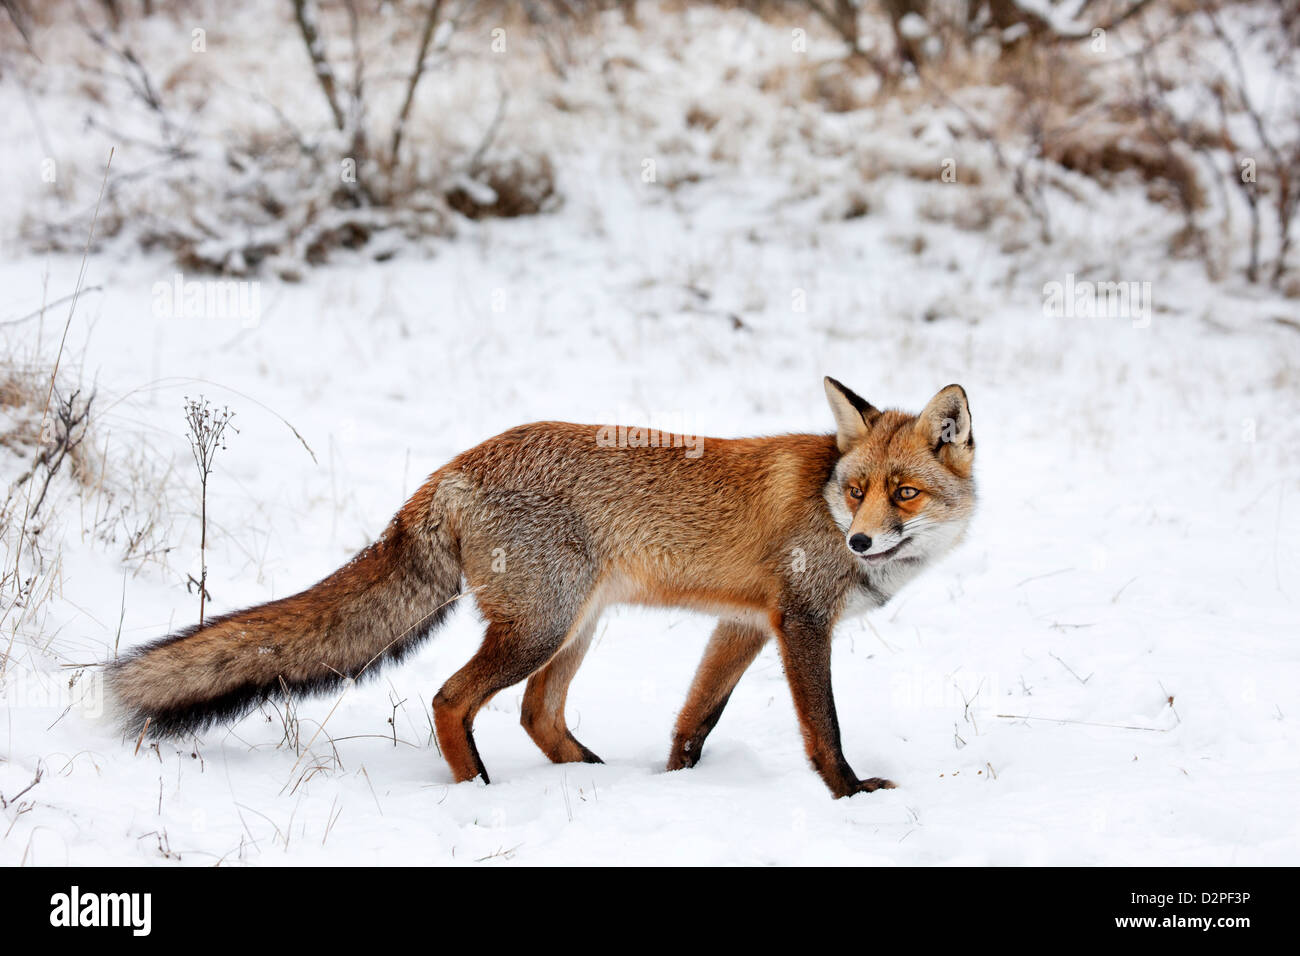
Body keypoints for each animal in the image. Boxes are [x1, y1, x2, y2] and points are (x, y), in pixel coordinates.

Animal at [106, 377, 972, 796]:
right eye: (856, 490)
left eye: (903, 493)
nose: (861, 539)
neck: (823, 501)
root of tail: (452, 468)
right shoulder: (800, 623)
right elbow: (823, 728)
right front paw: (851, 795)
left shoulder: (746, 625)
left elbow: (696, 718)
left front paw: (679, 784)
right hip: (541, 627)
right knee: (452, 699)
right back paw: (478, 791)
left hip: (573, 627)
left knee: (535, 714)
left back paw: (594, 776)